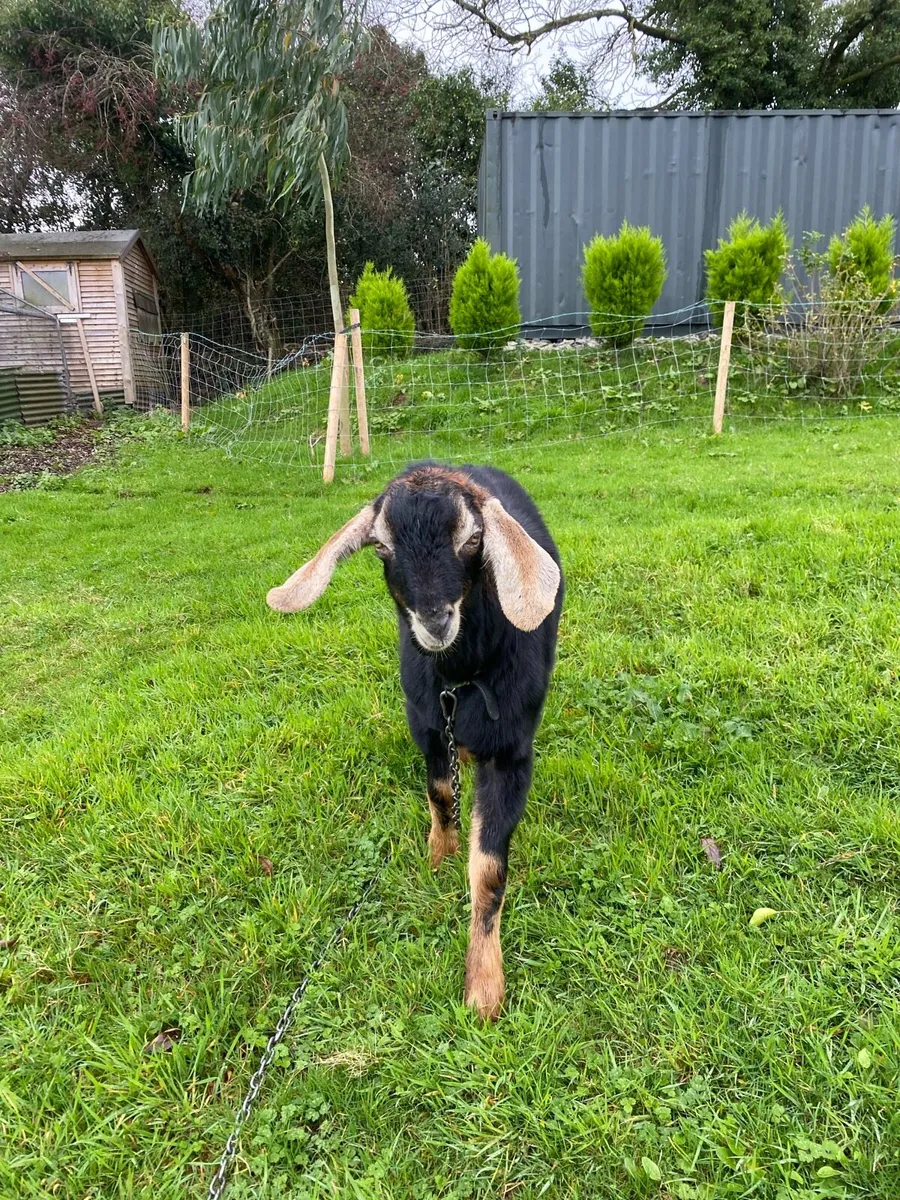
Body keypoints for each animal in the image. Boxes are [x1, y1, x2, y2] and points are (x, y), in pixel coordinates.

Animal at [267, 463, 563, 1020]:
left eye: (473, 539)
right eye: (381, 547)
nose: (434, 619)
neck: (462, 677)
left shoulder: (512, 752)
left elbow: (489, 871)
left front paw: (484, 990)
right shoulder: (426, 725)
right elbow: (440, 793)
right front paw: (438, 855)